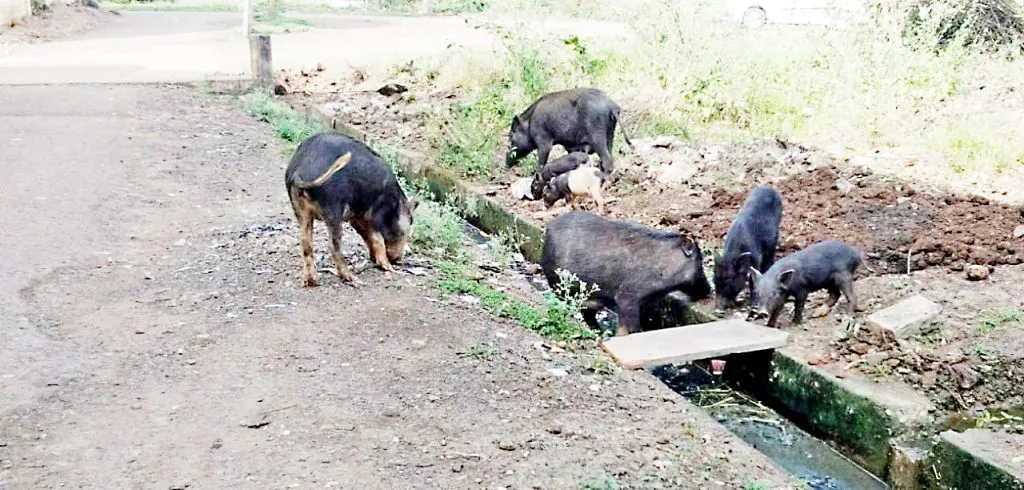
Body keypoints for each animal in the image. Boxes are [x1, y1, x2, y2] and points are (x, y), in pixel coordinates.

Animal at [285, 131, 417, 287]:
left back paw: (312, 281)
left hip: (300, 209)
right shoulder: (374, 214)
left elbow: (368, 237)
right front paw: (389, 268)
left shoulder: (356, 217)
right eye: (405, 232)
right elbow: (377, 239)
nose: (397, 260)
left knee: (305, 243)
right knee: (333, 245)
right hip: (333, 208)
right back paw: (352, 279)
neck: (394, 203)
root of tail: (300, 169)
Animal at [541, 211, 711, 336]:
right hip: (557, 282)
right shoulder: (627, 297)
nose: (708, 289)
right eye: (700, 262)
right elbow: (629, 329)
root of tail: (548, 227)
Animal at [713, 184, 783, 317]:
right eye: (715, 281)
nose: (718, 310)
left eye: (730, 281)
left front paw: (753, 305)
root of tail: (769, 187)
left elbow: (752, 281)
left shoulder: (755, 259)